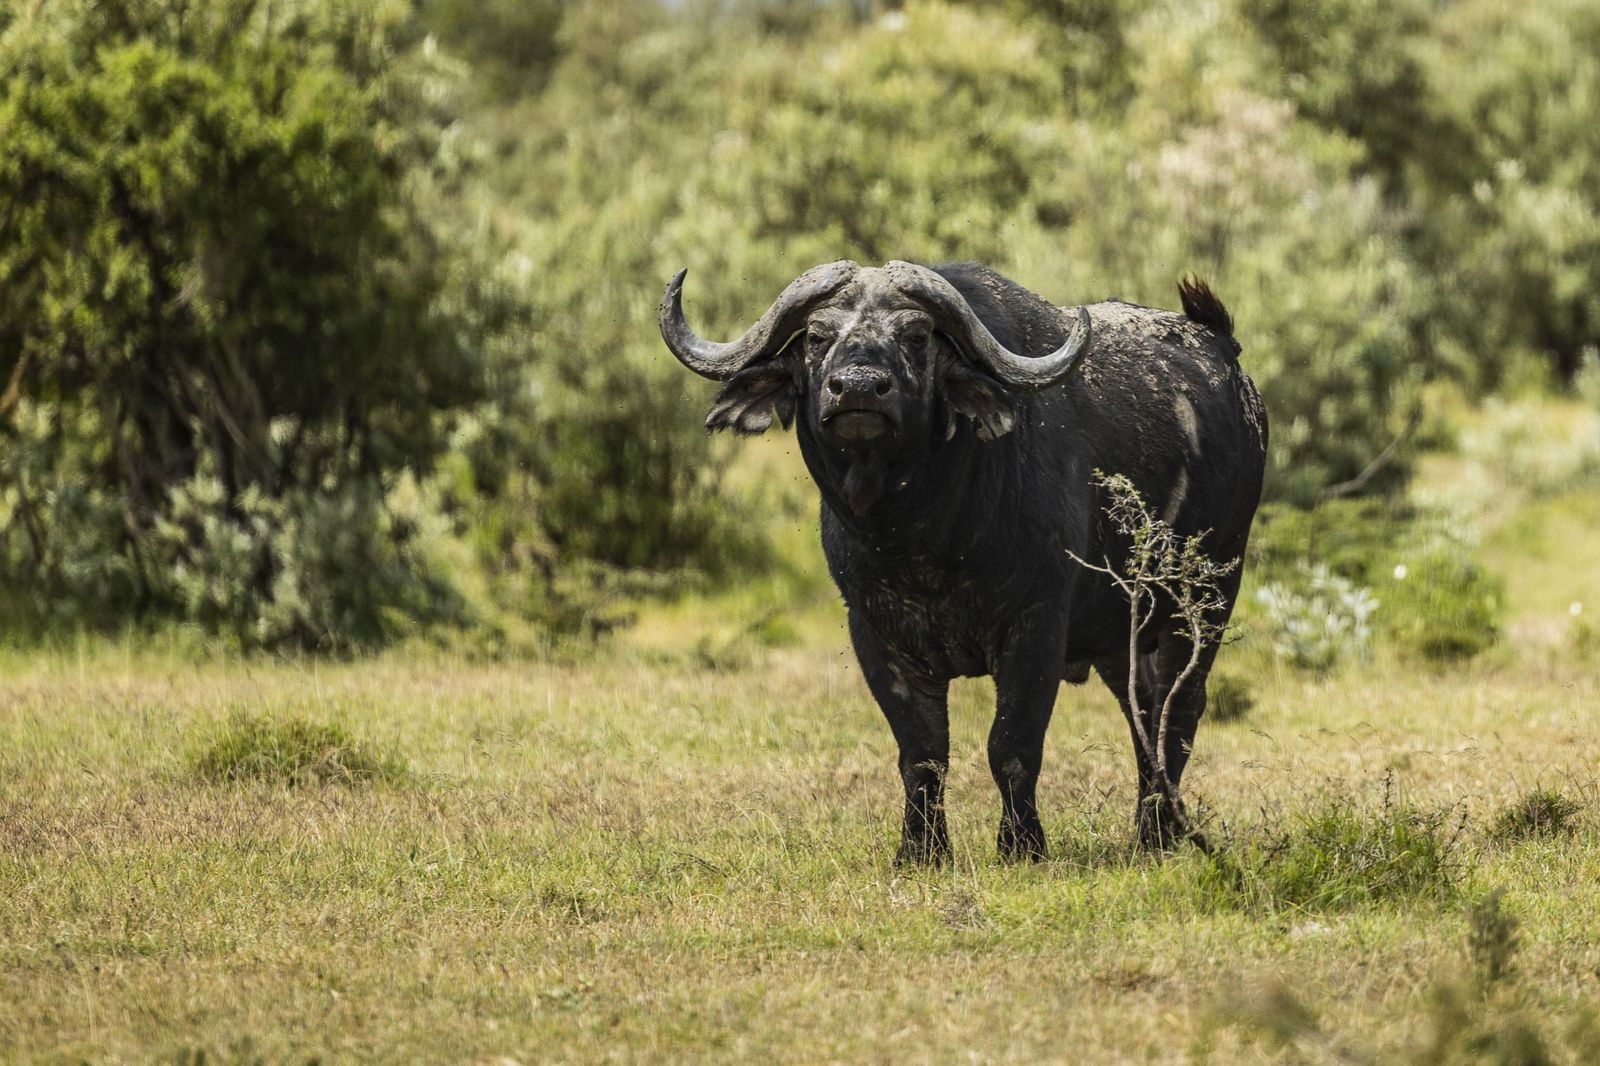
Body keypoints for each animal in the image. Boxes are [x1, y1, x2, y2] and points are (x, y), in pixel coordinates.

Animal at [659, 260, 1267, 862]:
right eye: (816, 336)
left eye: (915, 335)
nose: (858, 388)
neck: (924, 539)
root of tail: (1223, 349)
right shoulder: (878, 635)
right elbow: (922, 752)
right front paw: (921, 851)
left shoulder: (1036, 624)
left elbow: (1012, 744)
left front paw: (1021, 846)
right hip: (1124, 638)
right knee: (1142, 717)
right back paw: (1149, 834)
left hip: (1204, 604)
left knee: (1177, 712)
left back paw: (1162, 835)